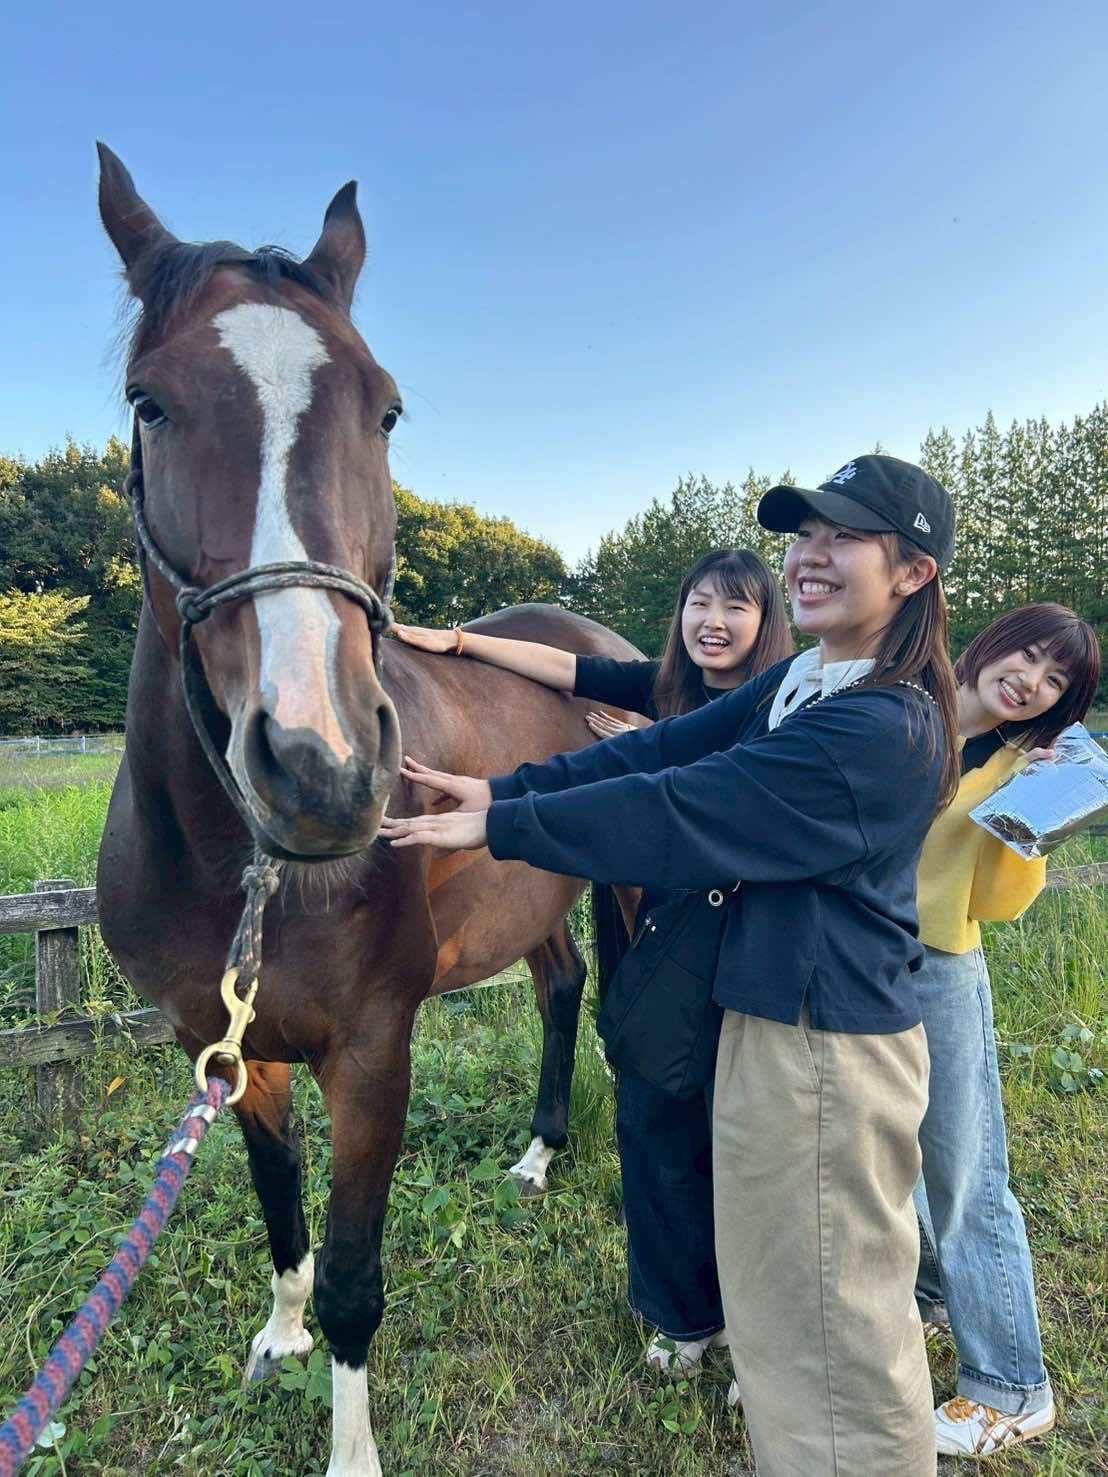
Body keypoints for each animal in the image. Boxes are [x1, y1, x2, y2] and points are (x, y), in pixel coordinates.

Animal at [94, 145, 636, 1477]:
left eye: (385, 408)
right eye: (149, 403)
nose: (321, 763)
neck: (247, 872)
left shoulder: (375, 1050)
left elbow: (351, 1278)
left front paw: (348, 1443)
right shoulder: (228, 1048)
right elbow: (282, 1219)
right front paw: (276, 1338)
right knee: (557, 985)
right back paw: (537, 1154)